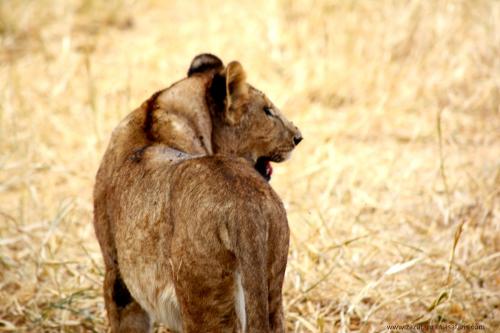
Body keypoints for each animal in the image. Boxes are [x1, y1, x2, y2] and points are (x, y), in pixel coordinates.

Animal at [94, 53, 302, 330]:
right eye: (267, 111)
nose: (298, 137)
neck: (157, 112)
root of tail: (246, 207)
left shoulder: (115, 273)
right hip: (272, 288)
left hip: (202, 300)